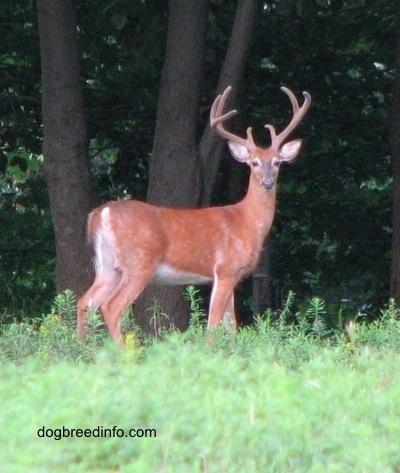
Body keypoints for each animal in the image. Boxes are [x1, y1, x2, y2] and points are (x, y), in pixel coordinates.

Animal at [76, 85, 310, 342]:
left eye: (277, 162)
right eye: (254, 163)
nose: (268, 182)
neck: (246, 222)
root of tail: (101, 212)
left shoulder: (232, 276)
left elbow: (231, 326)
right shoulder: (226, 268)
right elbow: (213, 325)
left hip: (109, 265)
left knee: (85, 301)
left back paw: (80, 345)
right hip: (139, 262)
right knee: (111, 306)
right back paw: (124, 349)